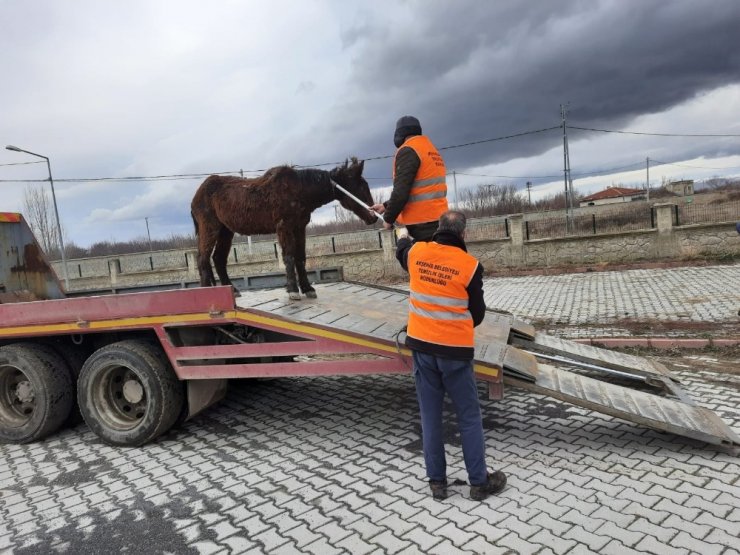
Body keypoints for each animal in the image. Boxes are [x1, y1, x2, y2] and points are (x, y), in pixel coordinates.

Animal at [192, 157, 376, 300]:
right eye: (361, 187)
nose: (374, 216)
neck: (300, 190)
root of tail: (196, 195)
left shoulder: (299, 228)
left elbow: (300, 258)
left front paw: (307, 289)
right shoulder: (284, 227)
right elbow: (288, 256)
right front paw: (293, 291)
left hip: (225, 231)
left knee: (217, 259)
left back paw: (232, 290)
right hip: (210, 228)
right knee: (203, 259)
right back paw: (206, 293)